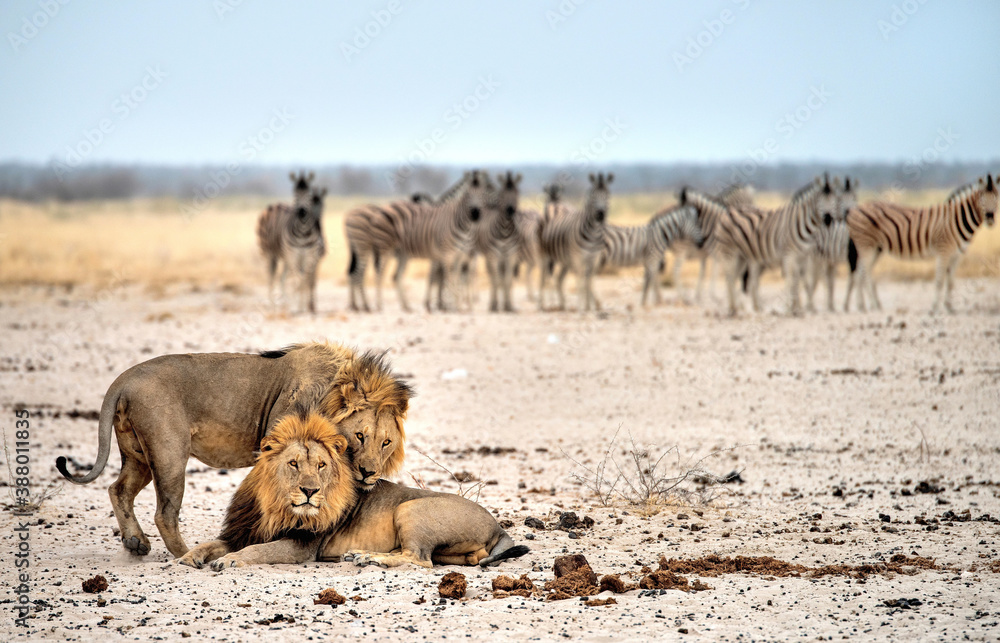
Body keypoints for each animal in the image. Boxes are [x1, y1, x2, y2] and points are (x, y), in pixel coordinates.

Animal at [55, 342, 410, 559]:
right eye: (360, 436)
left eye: (386, 442)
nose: (368, 473)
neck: (329, 395)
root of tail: (124, 379)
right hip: (169, 453)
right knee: (164, 513)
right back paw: (184, 553)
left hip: (138, 454)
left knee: (119, 489)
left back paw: (135, 543)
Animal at [179, 412, 528, 570]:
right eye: (293, 463)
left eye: (321, 465)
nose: (309, 491)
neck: (275, 505)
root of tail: (498, 527)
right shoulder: (243, 530)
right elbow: (212, 544)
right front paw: (189, 557)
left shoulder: (302, 547)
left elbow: (258, 551)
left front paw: (230, 561)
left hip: (410, 508)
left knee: (419, 559)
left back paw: (366, 556)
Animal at [537, 173, 613, 312]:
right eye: (592, 196)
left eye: (608, 195)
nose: (601, 215)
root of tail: (555, 208)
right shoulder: (578, 258)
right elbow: (582, 281)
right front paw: (583, 307)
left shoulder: (593, 259)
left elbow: (589, 281)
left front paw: (588, 306)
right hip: (546, 254)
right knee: (544, 277)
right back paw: (545, 304)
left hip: (562, 260)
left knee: (556, 278)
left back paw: (559, 304)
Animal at [845, 174, 998, 313]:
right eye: (982, 199)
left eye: (997, 198)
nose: (990, 218)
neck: (956, 219)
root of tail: (854, 209)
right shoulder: (943, 250)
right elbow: (939, 281)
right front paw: (935, 308)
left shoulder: (956, 255)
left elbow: (950, 282)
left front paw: (950, 307)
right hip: (866, 245)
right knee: (864, 273)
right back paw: (872, 305)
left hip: (876, 248)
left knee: (859, 272)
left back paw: (862, 306)